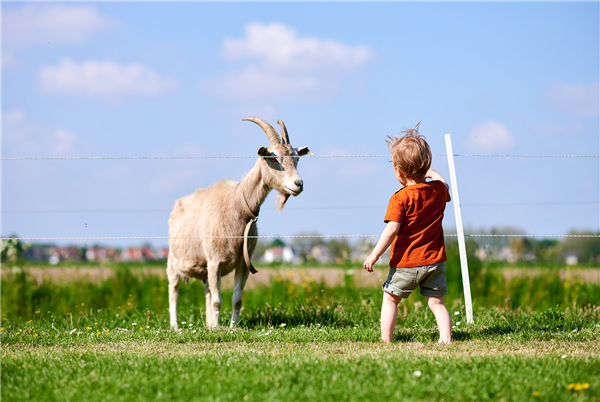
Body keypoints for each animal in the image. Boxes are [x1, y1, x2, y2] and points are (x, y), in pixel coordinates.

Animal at [168, 116, 312, 330]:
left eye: (297, 158)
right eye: (273, 158)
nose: (298, 184)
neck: (236, 206)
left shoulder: (243, 263)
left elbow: (236, 299)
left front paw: (232, 327)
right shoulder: (215, 261)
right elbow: (217, 301)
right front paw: (217, 329)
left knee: (206, 292)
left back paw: (207, 324)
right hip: (173, 261)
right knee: (174, 291)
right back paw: (175, 327)